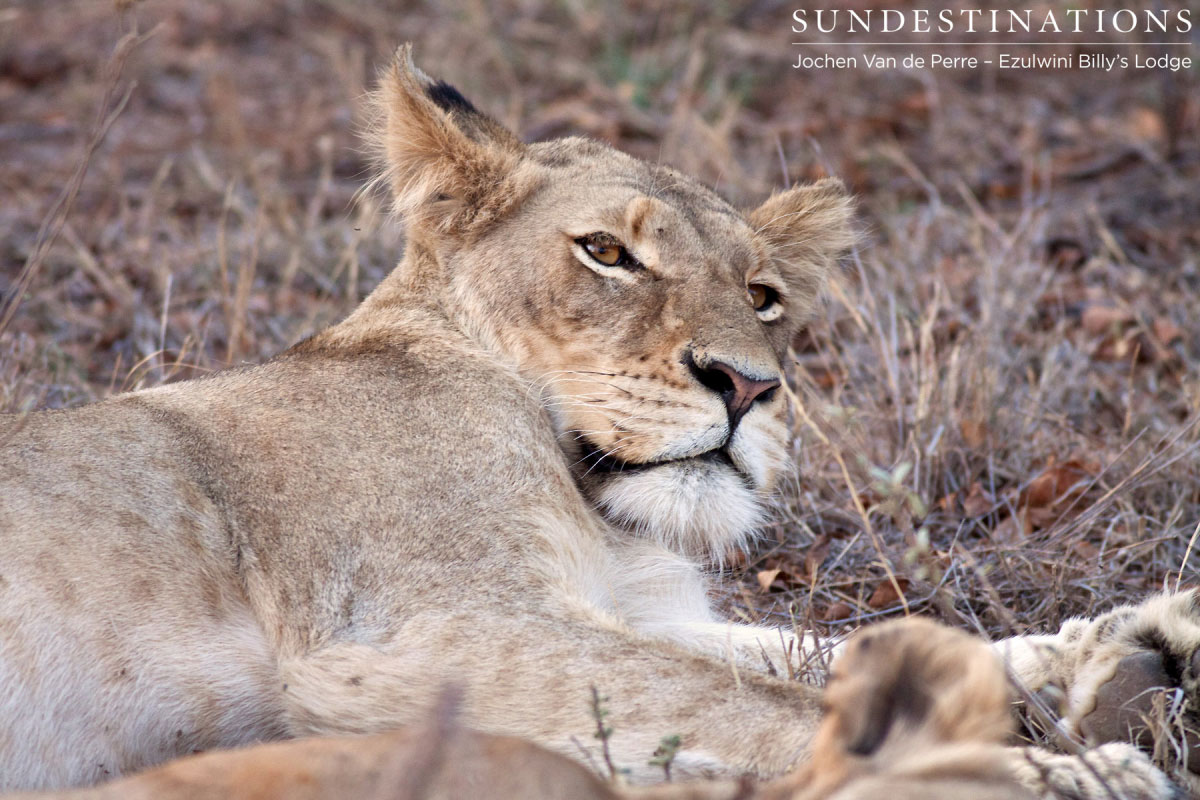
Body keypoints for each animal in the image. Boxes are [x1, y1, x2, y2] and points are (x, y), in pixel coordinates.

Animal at [0, 45, 1194, 798]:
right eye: (608, 253)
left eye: (764, 295)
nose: (748, 387)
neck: (591, 502)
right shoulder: (421, 634)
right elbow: (765, 696)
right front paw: (1073, 771)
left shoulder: (627, 606)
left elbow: (827, 647)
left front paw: (1119, 647)